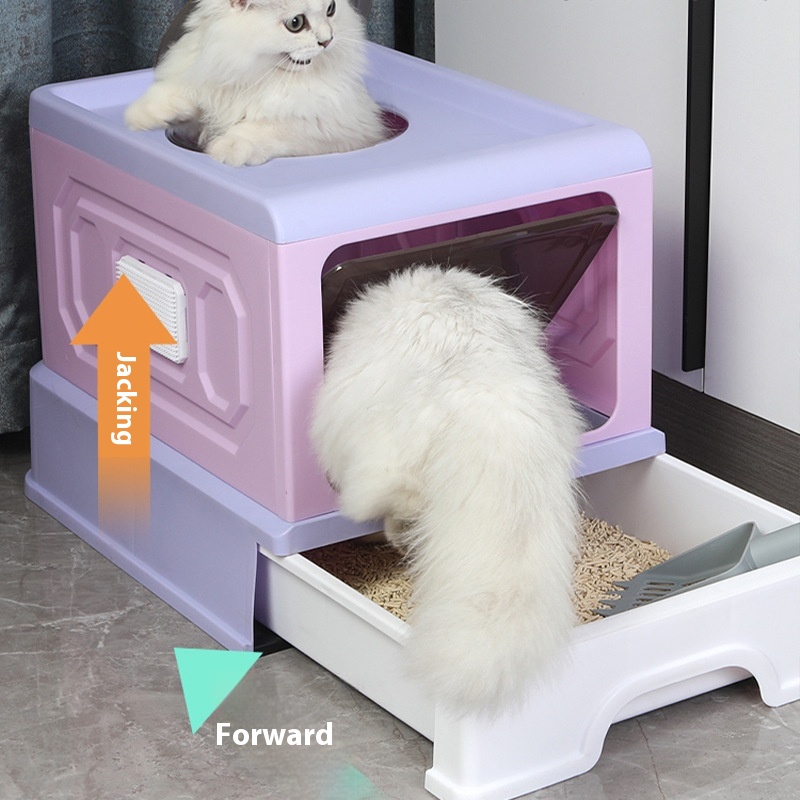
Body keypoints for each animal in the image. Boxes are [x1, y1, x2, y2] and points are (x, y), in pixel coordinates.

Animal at [124, 0, 387, 166]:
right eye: (296, 23)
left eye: (331, 9)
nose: (328, 40)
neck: (258, 75)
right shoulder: (208, 90)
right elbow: (179, 97)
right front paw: (138, 117)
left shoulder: (330, 129)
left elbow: (262, 129)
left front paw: (225, 149)